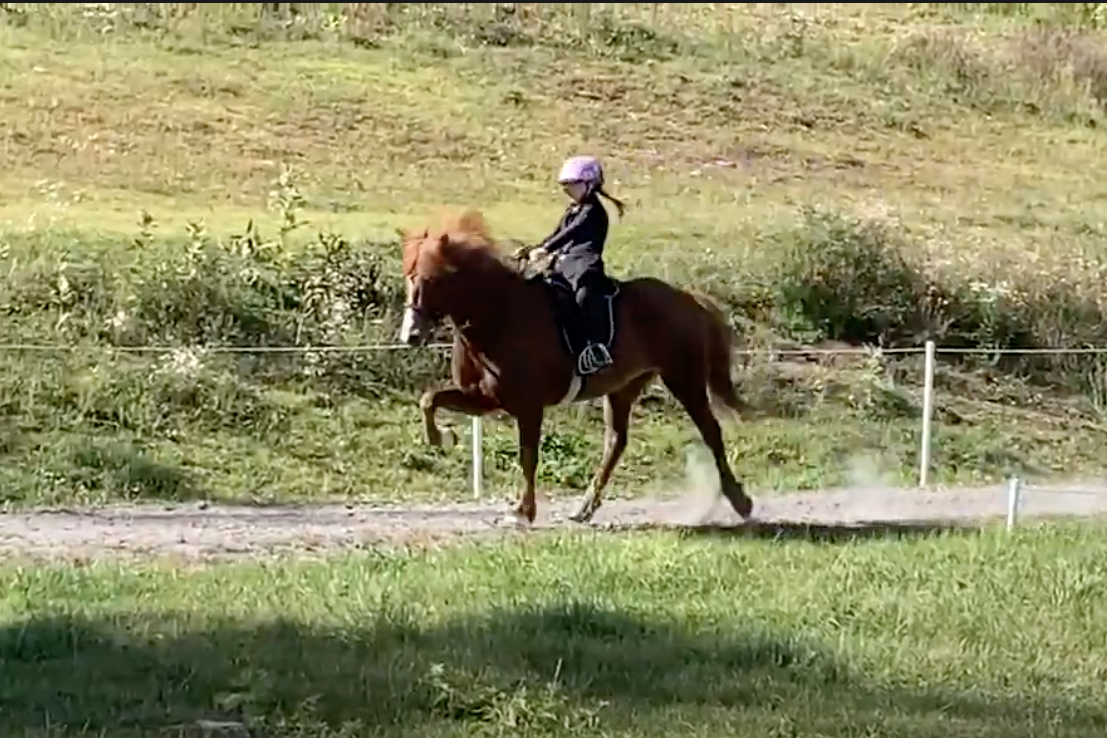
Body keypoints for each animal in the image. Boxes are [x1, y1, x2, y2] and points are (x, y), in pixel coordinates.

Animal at [396, 210, 752, 528]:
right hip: (623, 387)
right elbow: (429, 400)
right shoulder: (484, 399)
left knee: (710, 431)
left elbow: (528, 456)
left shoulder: (528, 407)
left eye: (432, 280)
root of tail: (687, 298)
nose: (410, 335)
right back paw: (584, 509)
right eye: (408, 278)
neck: (499, 315)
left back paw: (740, 501)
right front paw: (443, 437)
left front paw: (523, 512)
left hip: (683, 377)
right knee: (616, 442)